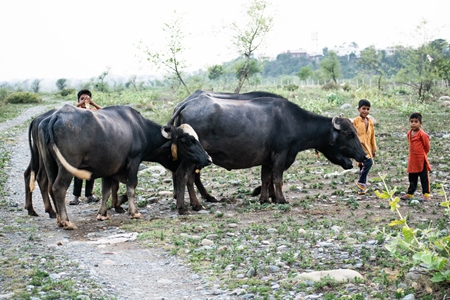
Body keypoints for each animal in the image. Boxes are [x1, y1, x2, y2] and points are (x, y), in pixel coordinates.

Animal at [38, 104, 211, 229]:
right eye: (188, 140)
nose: (208, 159)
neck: (141, 129)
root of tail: (55, 116)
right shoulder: (133, 161)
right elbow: (131, 186)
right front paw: (134, 212)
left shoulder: (109, 170)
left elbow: (106, 191)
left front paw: (103, 214)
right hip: (66, 168)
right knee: (58, 188)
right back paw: (66, 222)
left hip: (51, 165)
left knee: (51, 187)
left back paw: (59, 220)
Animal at [169, 89, 370, 209]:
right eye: (350, 134)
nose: (363, 155)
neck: (295, 122)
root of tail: (184, 105)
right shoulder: (281, 156)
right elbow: (278, 179)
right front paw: (280, 199)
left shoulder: (267, 160)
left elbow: (266, 178)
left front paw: (265, 198)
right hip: (194, 157)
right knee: (185, 176)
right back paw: (191, 205)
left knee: (188, 177)